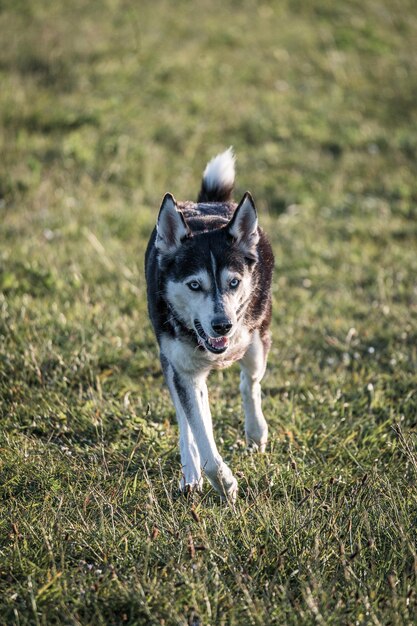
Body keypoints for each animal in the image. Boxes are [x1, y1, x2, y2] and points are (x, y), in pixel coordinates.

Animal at [145, 149, 274, 500]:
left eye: (233, 282)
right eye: (194, 285)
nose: (222, 326)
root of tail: (211, 204)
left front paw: (224, 483)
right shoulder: (183, 370)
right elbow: (199, 431)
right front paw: (223, 482)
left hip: (258, 343)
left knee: (249, 382)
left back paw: (256, 431)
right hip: (169, 360)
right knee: (185, 420)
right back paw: (190, 474)